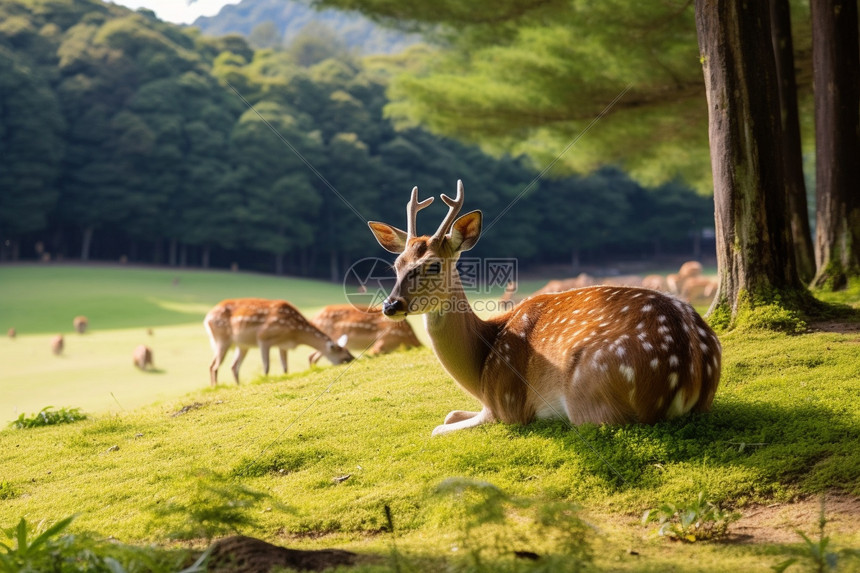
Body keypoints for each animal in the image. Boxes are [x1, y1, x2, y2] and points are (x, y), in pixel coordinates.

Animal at [203, 298, 354, 386]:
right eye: (344, 357)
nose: (353, 359)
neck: (294, 332)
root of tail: (206, 318)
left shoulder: (284, 345)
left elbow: (285, 368)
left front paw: (284, 377)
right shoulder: (263, 337)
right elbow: (267, 367)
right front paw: (265, 380)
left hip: (242, 345)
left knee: (233, 366)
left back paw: (238, 386)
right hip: (222, 339)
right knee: (214, 366)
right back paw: (215, 387)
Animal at [366, 181, 724, 436]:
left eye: (433, 265)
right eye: (396, 264)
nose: (391, 304)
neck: (481, 367)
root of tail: (691, 372)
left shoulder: (505, 406)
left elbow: (438, 427)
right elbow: (449, 412)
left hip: (590, 393)